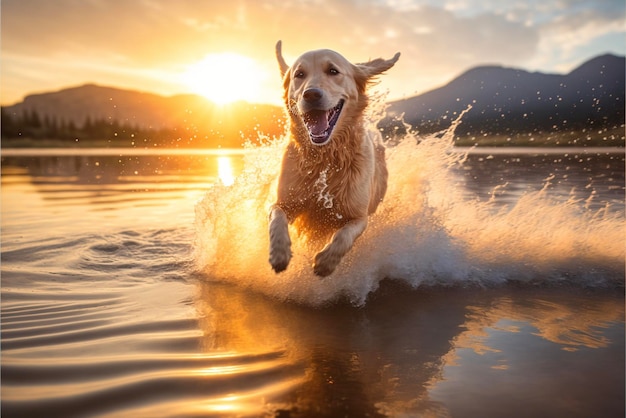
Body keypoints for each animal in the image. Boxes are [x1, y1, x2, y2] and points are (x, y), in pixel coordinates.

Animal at [266, 40, 398, 276]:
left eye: (333, 71)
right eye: (299, 74)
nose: (311, 94)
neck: (325, 158)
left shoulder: (358, 216)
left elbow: (345, 235)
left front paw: (326, 261)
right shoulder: (286, 202)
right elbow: (276, 216)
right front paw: (279, 253)